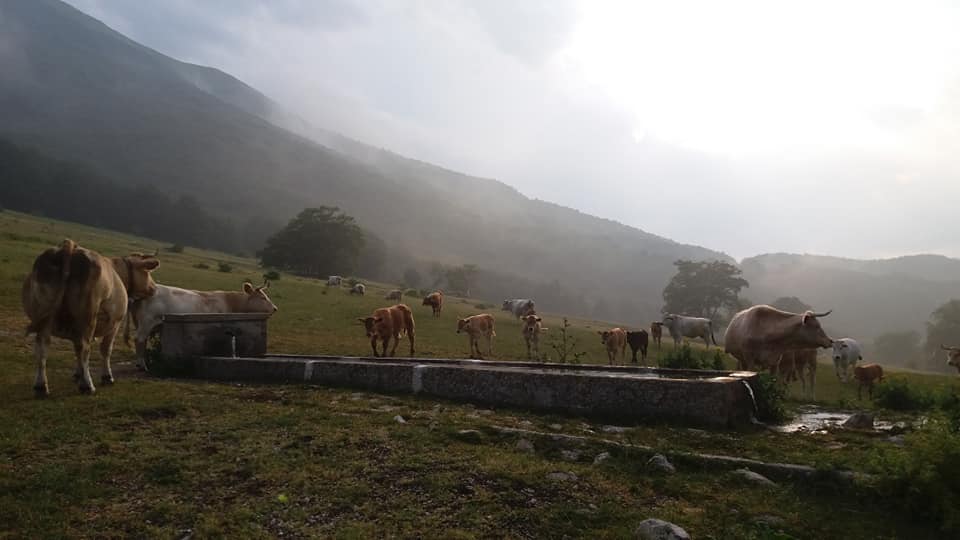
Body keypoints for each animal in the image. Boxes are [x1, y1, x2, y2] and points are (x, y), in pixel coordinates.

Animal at [22, 239, 159, 396]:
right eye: (147, 272)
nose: (154, 288)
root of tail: (70, 248)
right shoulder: (115, 323)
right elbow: (105, 349)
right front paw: (106, 376)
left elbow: (76, 350)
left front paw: (78, 374)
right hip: (87, 319)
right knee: (84, 347)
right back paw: (87, 385)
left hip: (45, 320)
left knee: (42, 347)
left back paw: (41, 386)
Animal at [127, 281, 278, 369]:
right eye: (263, 297)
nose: (275, 308)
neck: (230, 302)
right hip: (146, 323)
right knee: (139, 339)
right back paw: (142, 364)